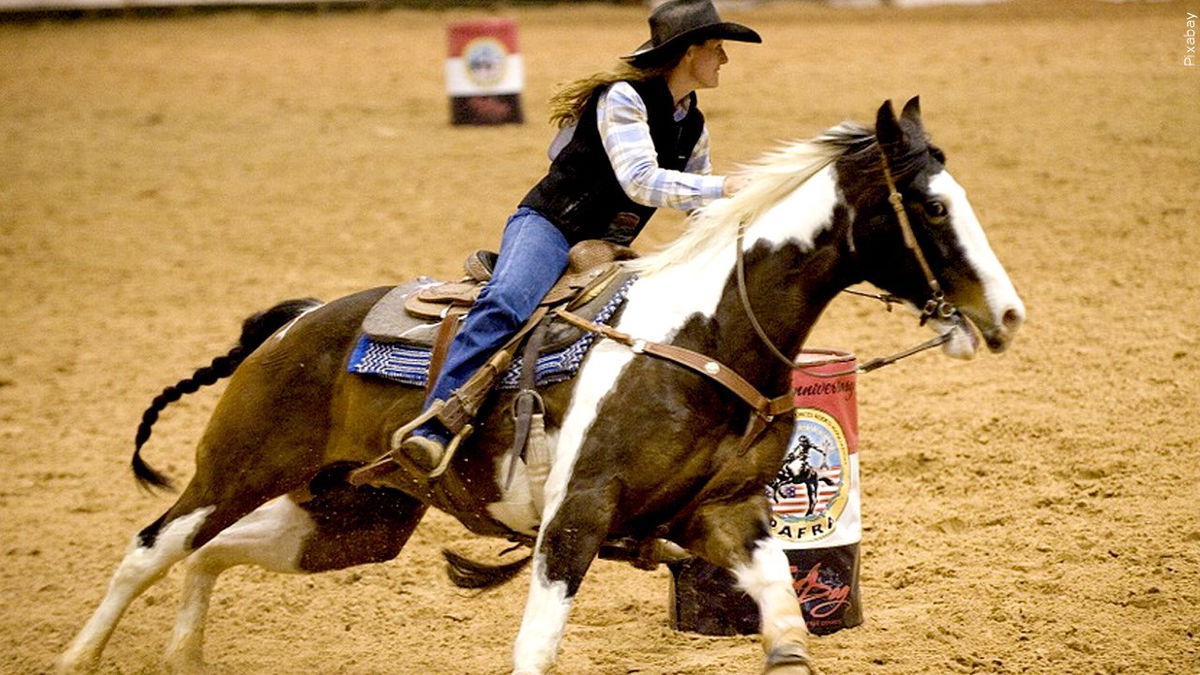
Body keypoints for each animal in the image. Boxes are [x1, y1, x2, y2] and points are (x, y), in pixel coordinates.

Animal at [58, 98, 1022, 672]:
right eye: (933, 206)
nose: (1006, 313)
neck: (703, 333)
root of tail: (296, 319)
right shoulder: (575, 517)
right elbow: (535, 646)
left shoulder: (729, 516)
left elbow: (786, 624)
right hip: (236, 465)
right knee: (152, 546)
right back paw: (76, 657)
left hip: (352, 517)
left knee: (209, 551)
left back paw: (185, 654)